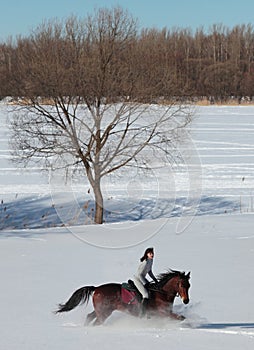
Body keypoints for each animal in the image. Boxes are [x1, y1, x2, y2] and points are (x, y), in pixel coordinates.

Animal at [55, 270, 190, 326]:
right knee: (96, 322)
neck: (161, 293)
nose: (186, 300)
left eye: (189, 285)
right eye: (181, 285)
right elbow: (180, 317)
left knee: (89, 317)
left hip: (101, 310)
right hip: (104, 313)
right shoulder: (162, 313)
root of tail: (96, 288)